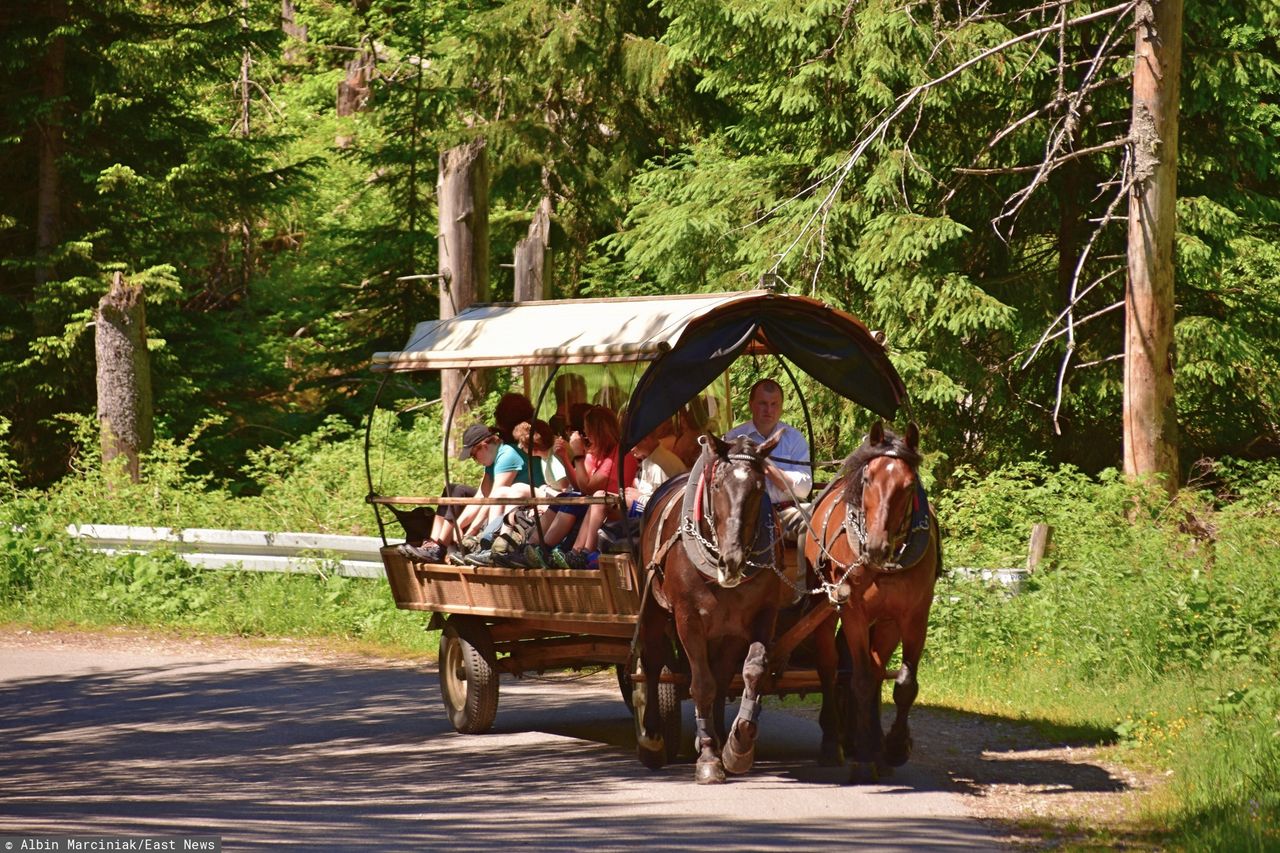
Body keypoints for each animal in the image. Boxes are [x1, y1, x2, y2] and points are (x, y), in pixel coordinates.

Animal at [629, 432, 778, 783]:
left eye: (759, 487)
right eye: (718, 485)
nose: (732, 560)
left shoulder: (759, 616)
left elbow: (751, 672)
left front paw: (737, 745)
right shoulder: (688, 619)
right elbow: (701, 685)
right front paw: (709, 757)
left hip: (724, 631)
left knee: (722, 676)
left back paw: (720, 735)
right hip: (653, 608)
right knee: (652, 664)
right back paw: (653, 737)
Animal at [798, 422, 942, 778]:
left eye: (908, 485)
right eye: (867, 479)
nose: (876, 546)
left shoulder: (913, 616)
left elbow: (903, 684)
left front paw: (893, 748)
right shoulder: (853, 612)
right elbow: (860, 680)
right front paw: (864, 757)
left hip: (886, 621)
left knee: (876, 669)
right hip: (825, 609)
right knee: (829, 667)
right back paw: (832, 743)